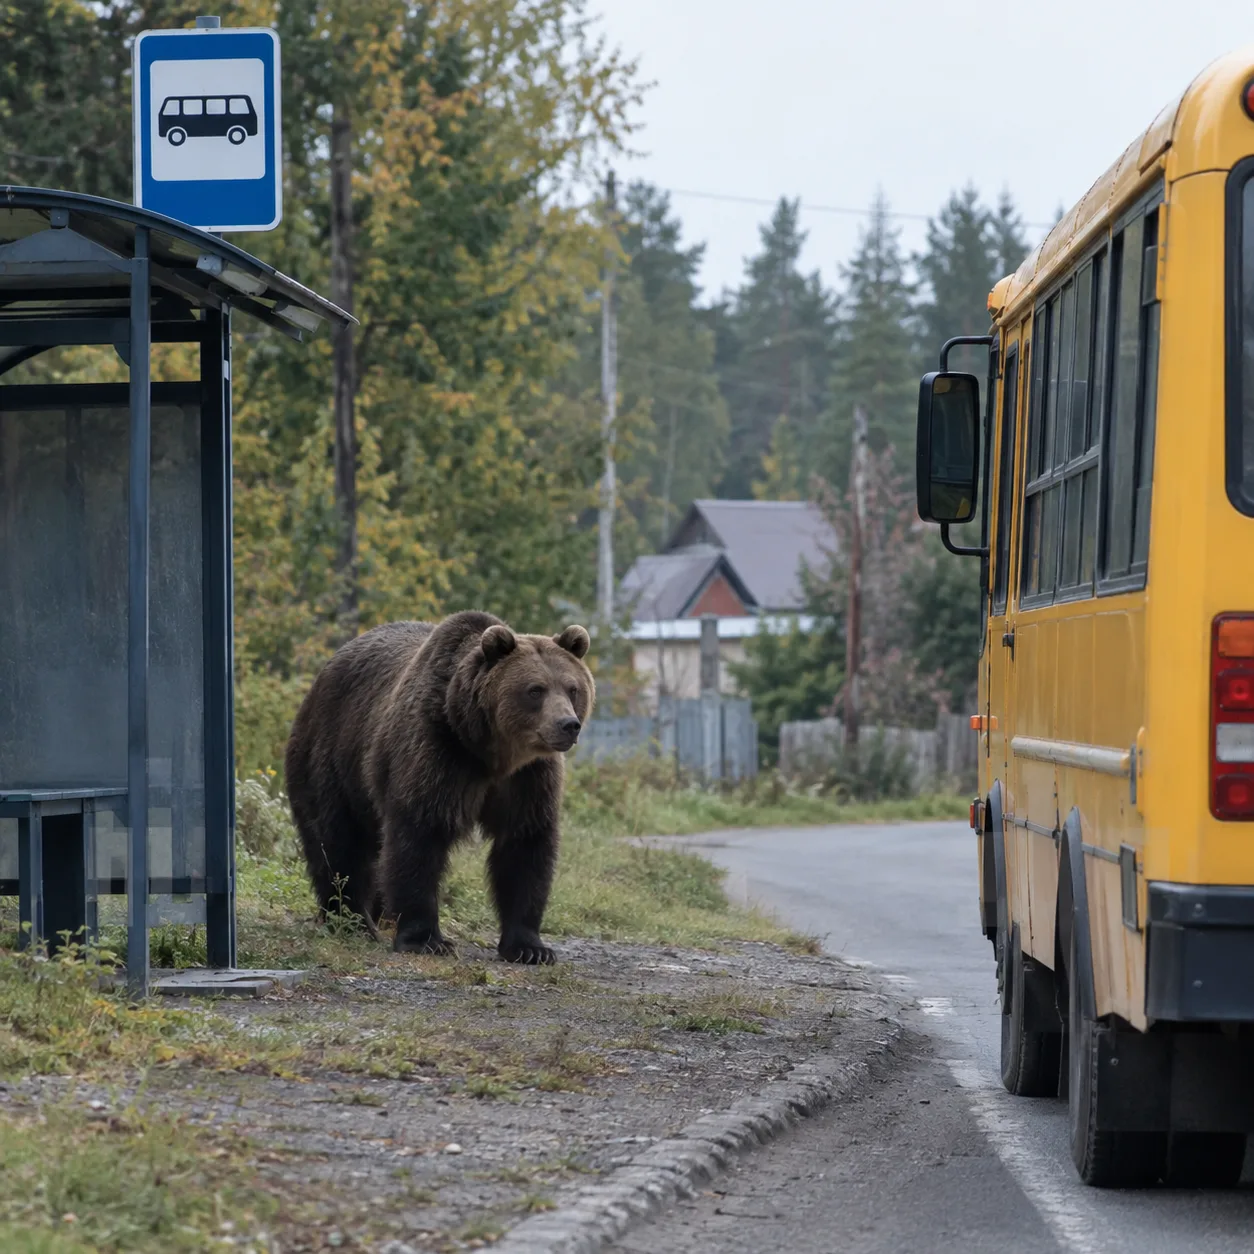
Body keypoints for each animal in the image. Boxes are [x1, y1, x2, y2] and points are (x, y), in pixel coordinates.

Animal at [284, 610, 595, 964]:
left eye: (572, 688)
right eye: (535, 690)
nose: (568, 725)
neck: (490, 752)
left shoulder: (528, 778)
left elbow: (525, 844)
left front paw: (530, 947)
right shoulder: (437, 749)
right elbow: (419, 834)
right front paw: (427, 939)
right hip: (332, 757)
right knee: (336, 841)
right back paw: (352, 920)